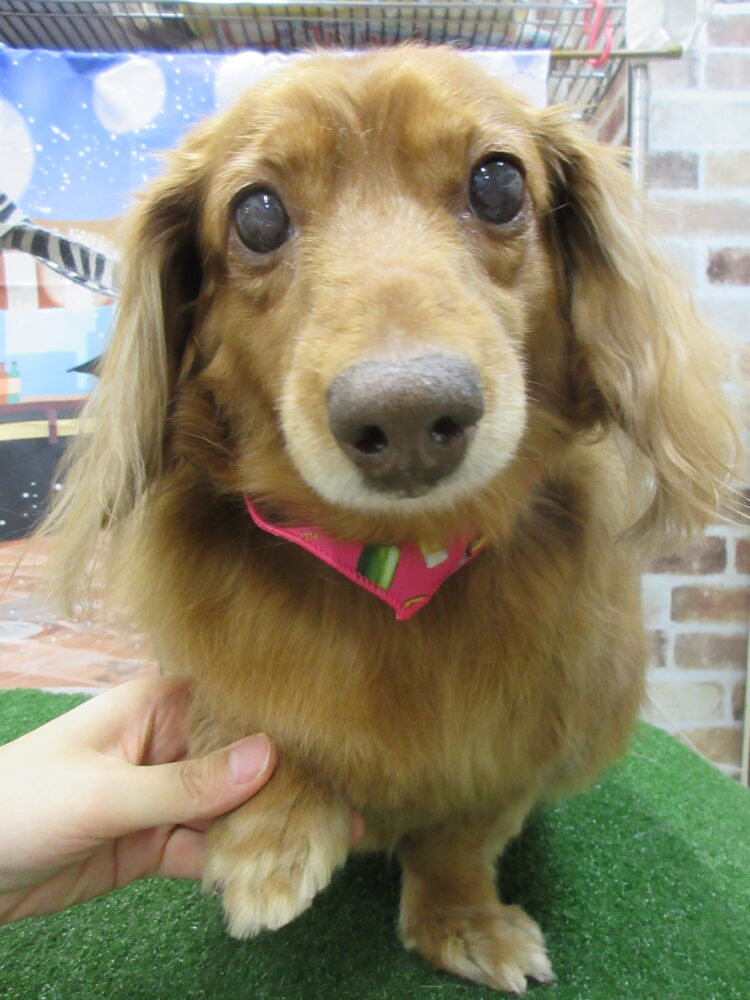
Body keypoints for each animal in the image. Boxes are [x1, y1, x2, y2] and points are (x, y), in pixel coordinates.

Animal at [42, 46, 737, 993]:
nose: (407, 416)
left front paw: (460, 921)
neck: (391, 561)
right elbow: (251, 712)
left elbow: (459, 837)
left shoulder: (519, 747)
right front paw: (272, 830)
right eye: (257, 213)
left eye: (497, 183)